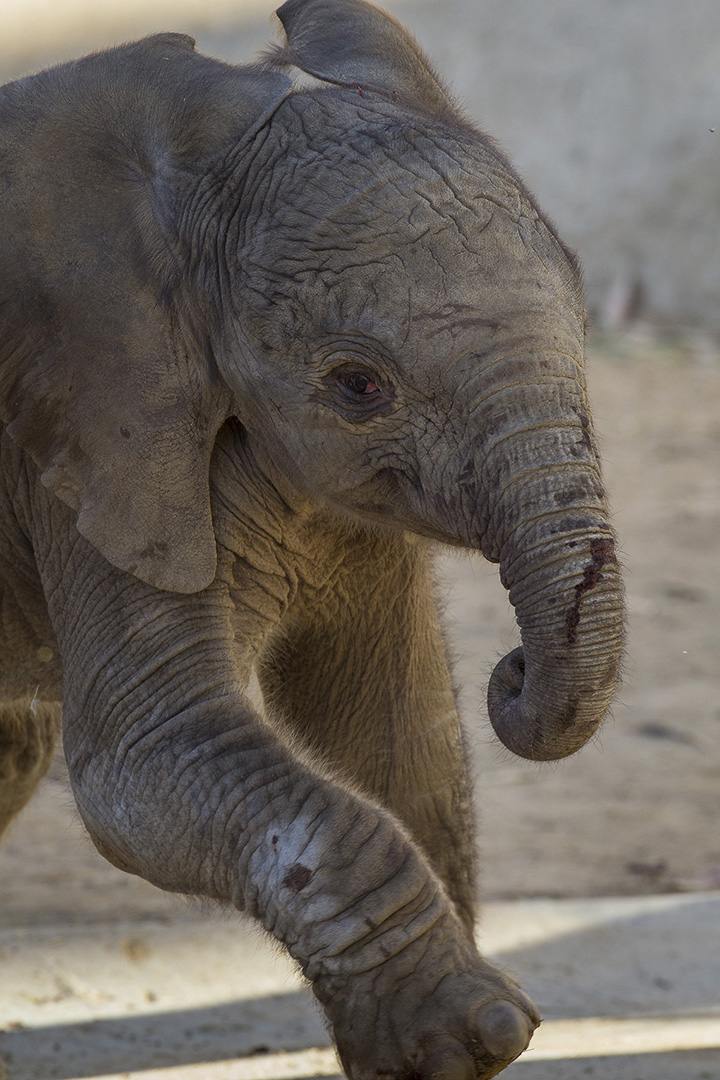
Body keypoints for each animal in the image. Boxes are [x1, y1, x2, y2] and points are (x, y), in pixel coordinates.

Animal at [0, 0, 626, 1075]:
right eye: (358, 386)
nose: (513, 675)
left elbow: (398, 728)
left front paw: (424, 1056)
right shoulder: (95, 425)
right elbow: (144, 767)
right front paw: (473, 1032)